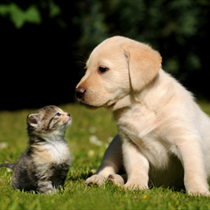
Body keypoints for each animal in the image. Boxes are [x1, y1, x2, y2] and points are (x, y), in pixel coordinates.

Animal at [76, 35, 210, 195]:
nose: (77, 92)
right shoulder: (130, 144)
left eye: (102, 69)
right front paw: (135, 185)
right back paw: (100, 179)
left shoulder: (187, 140)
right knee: (107, 166)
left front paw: (198, 192)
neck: (138, 106)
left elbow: (192, 171)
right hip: (115, 144)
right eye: (86, 69)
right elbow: (136, 167)